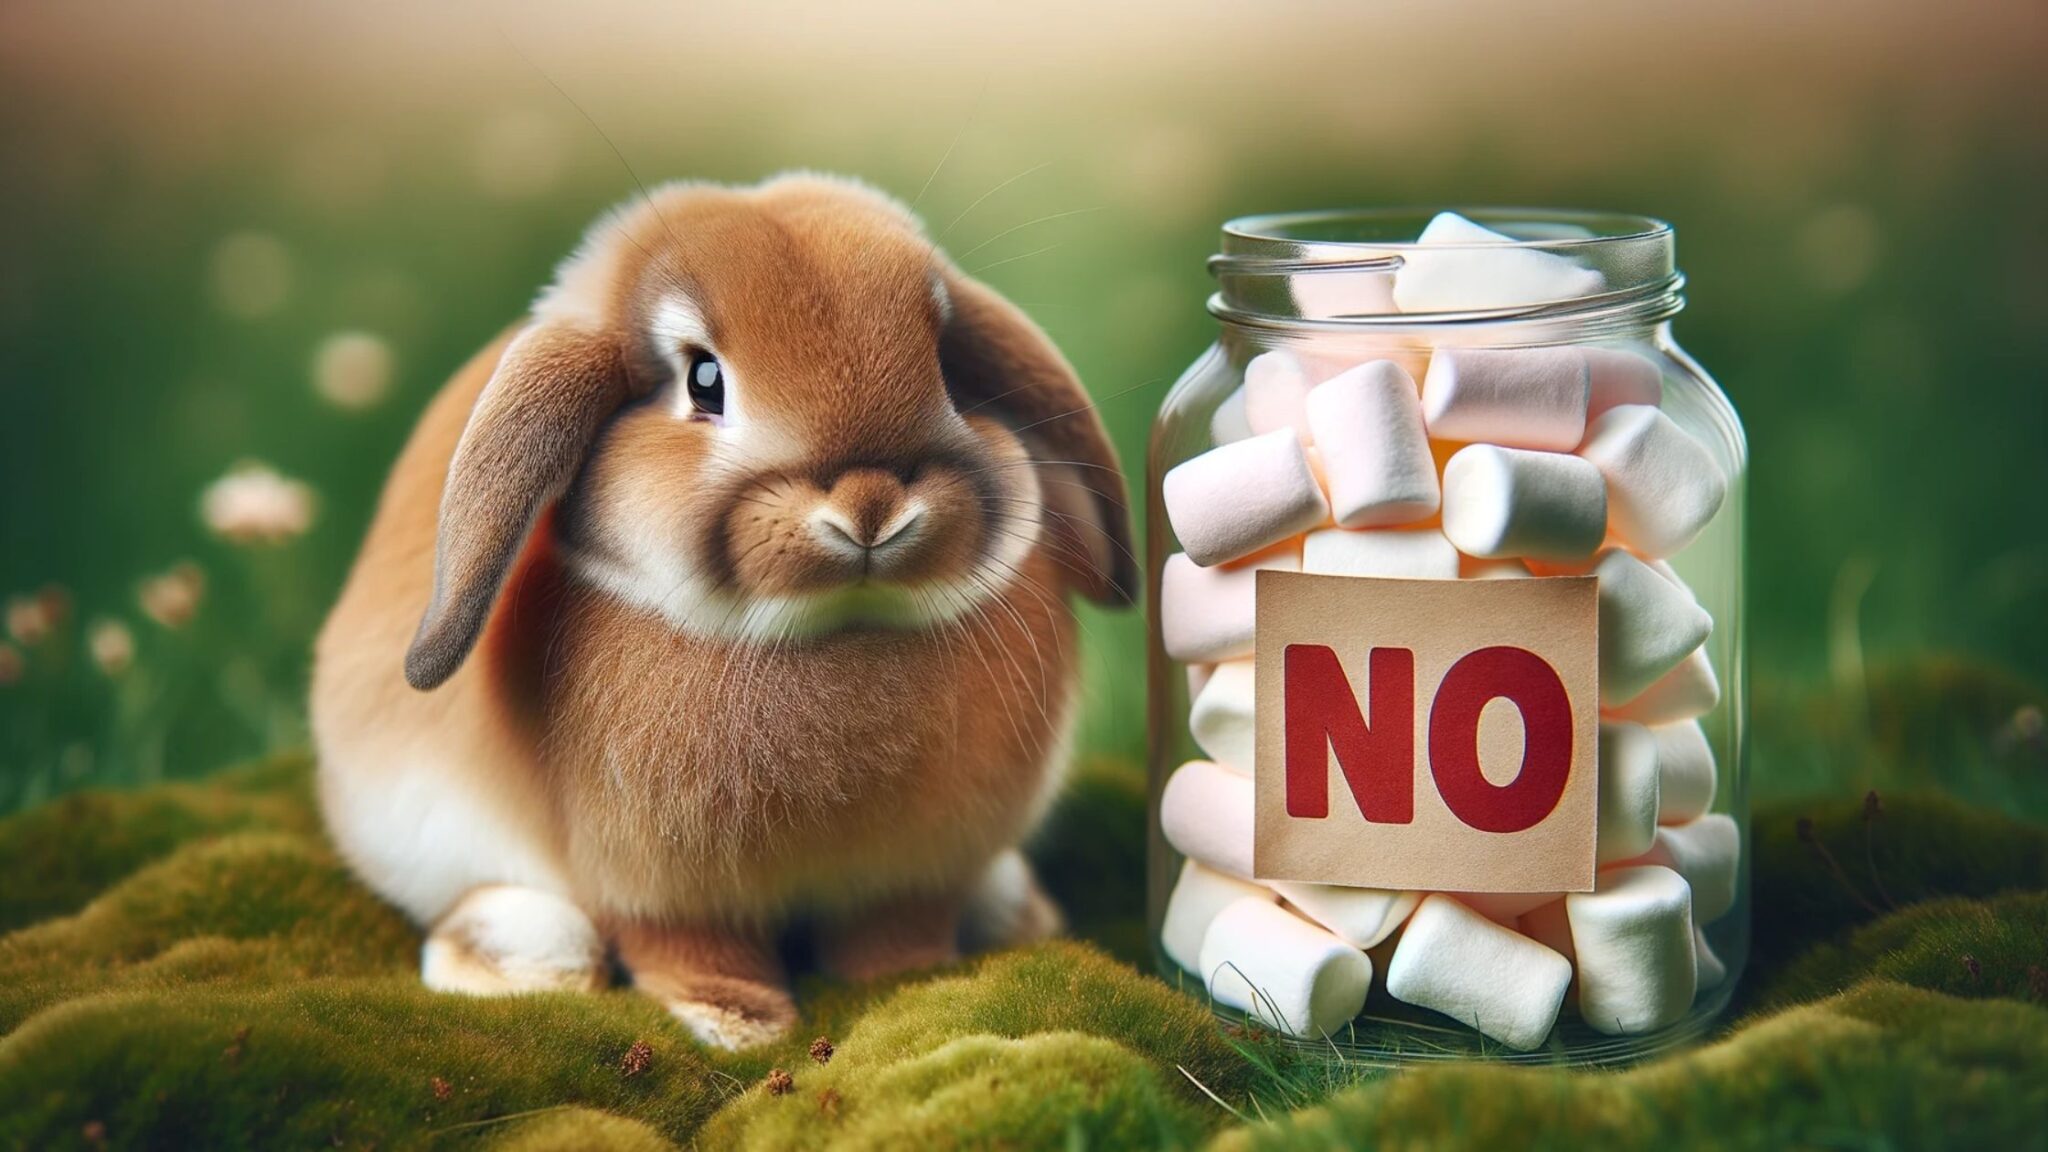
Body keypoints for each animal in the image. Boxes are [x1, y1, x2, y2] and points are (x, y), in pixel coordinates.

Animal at [309, 173, 1134, 1049]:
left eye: (946, 365)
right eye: (703, 381)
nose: (871, 504)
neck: (839, 626)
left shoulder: (908, 876)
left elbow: (894, 933)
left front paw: (912, 985)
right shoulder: (660, 891)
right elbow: (689, 949)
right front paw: (738, 1022)